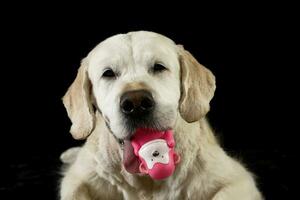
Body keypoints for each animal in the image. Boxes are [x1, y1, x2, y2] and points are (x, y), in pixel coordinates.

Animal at [59, 30, 262, 199]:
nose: (136, 104)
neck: (146, 179)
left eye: (159, 67)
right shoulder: (76, 180)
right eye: (108, 73)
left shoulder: (238, 179)